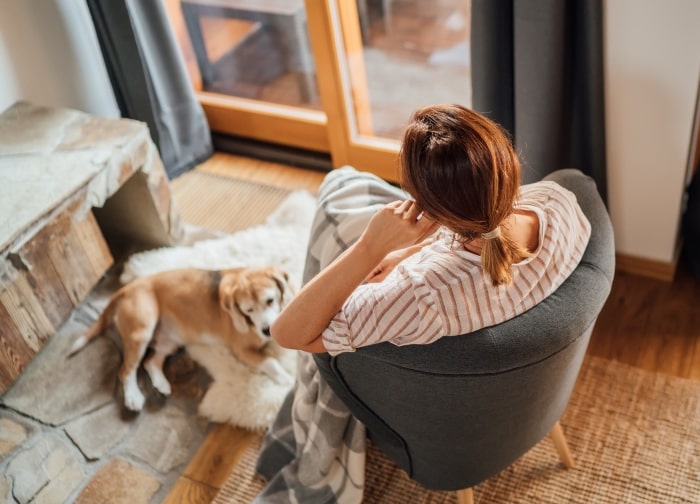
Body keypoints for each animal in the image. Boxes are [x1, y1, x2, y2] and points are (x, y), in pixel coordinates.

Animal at [68, 266, 292, 412]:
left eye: (270, 300)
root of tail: (128, 288)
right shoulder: (242, 351)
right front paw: (286, 380)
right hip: (142, 331)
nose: (267, 330)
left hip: (170, 342)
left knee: (151, 362)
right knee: (126, 370)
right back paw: (133, 397)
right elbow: (269, 362)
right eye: (248, 310)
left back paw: (161, 384)